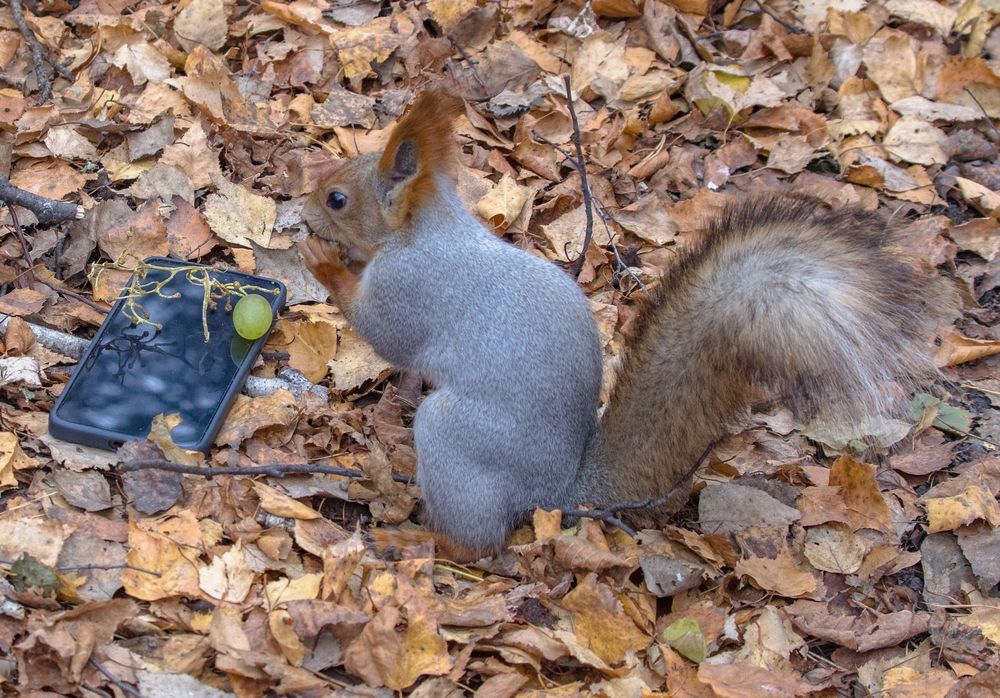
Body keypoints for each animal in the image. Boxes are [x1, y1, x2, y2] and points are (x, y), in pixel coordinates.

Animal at [299, 90, 937, 561]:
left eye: (337, 199)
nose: (302, 208)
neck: (426, 231)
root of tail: (554, 494)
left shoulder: (412, 286)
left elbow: (386, 332)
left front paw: (324, 262)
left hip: (457, 440)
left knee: (477, 543)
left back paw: (414, 540)